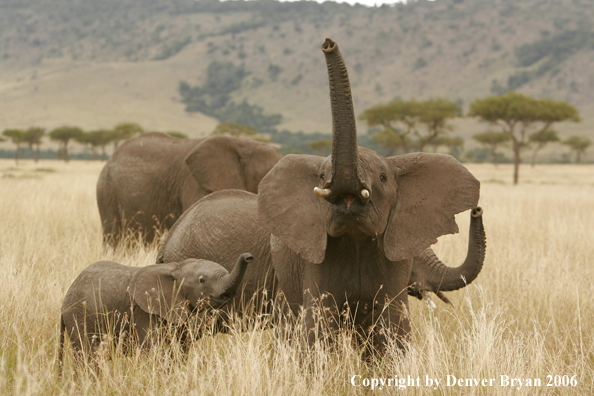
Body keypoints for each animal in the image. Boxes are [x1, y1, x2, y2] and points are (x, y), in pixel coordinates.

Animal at [59, 252, 252, 364]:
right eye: (202, 280)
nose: (249, 256)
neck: (175, 269)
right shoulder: (144, 312)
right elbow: (152, 350)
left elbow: (180, 347)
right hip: (79, 317)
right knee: (88, 356)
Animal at [157, 39, 486, 356]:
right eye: (320, 177)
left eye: (382, 177)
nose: (477, 211)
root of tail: (167, 242)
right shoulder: (300, 267)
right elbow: (311, 331)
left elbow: (389, 332)